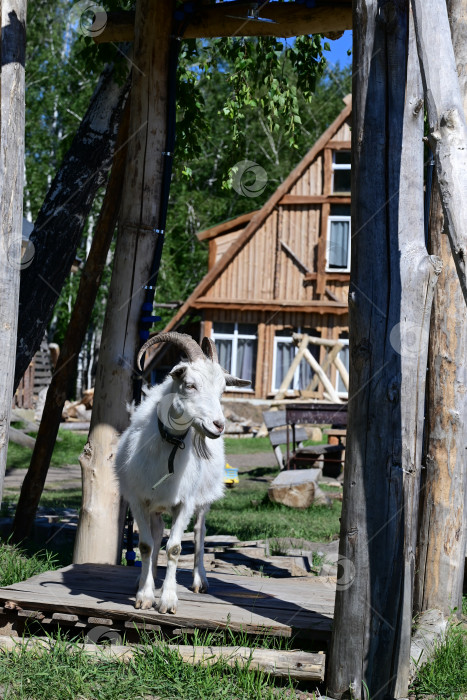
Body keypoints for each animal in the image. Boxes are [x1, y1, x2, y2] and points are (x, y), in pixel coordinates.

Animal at [115, 332, 250, 612]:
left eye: (222, 390)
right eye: (190, 385)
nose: (218, 425)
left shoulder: (185, 502)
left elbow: (175, 548)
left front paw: (167, 600)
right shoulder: (138, 500)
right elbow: (146, 545)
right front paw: (145, 595)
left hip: (203, 499)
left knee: (199, 534)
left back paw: (200, 580)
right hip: (155, 505)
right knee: (156, 535)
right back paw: (148, 577)